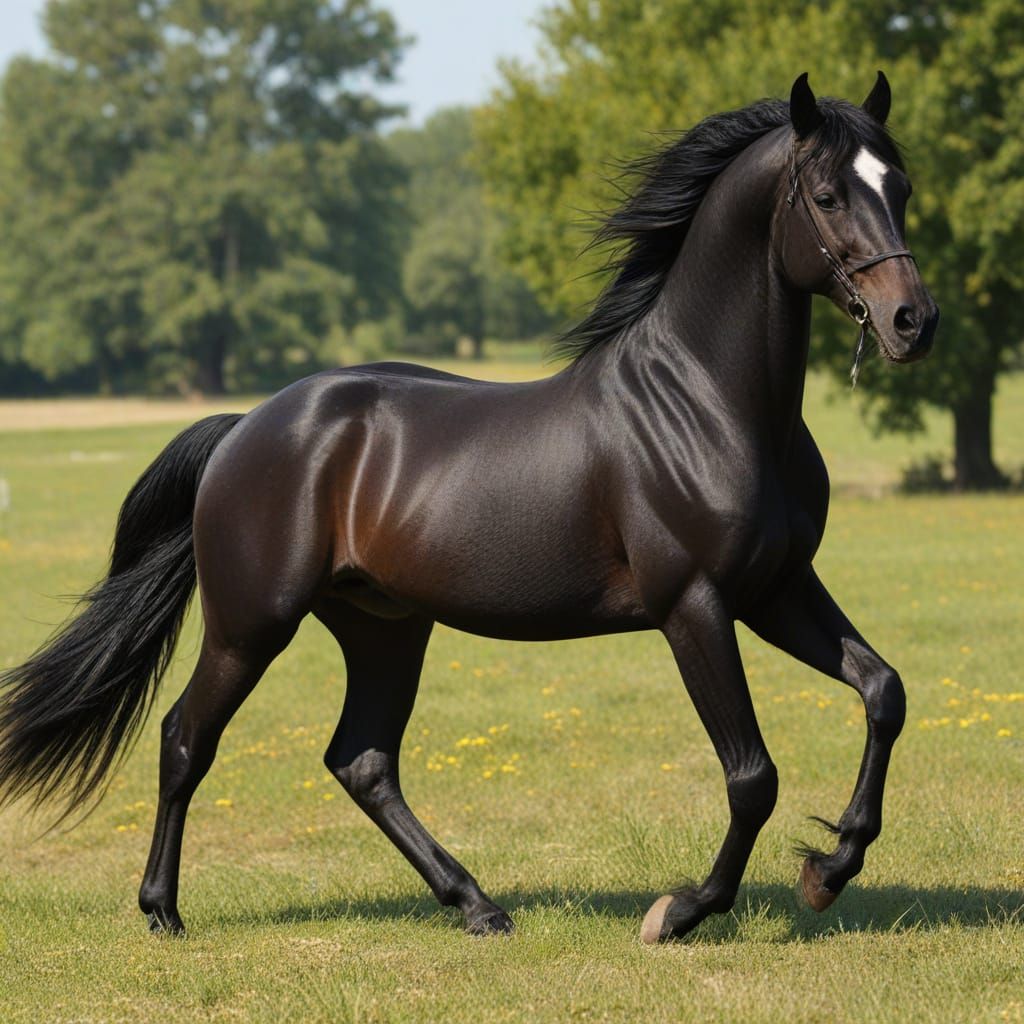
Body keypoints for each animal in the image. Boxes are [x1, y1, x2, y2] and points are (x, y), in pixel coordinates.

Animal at [0, 72, 938, 944]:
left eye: (900, 186)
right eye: (827, 195)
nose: (911, 322)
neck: (707, 402)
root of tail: (249, 427)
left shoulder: (778, 589)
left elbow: (882, 691)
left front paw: (830, 867)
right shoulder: (695, 606)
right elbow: (752, 775)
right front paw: (681, 912)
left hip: (383, 627)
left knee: (362, 760)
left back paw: (477, 905)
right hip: (250, 624)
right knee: (186, 739)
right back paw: (163, 910)